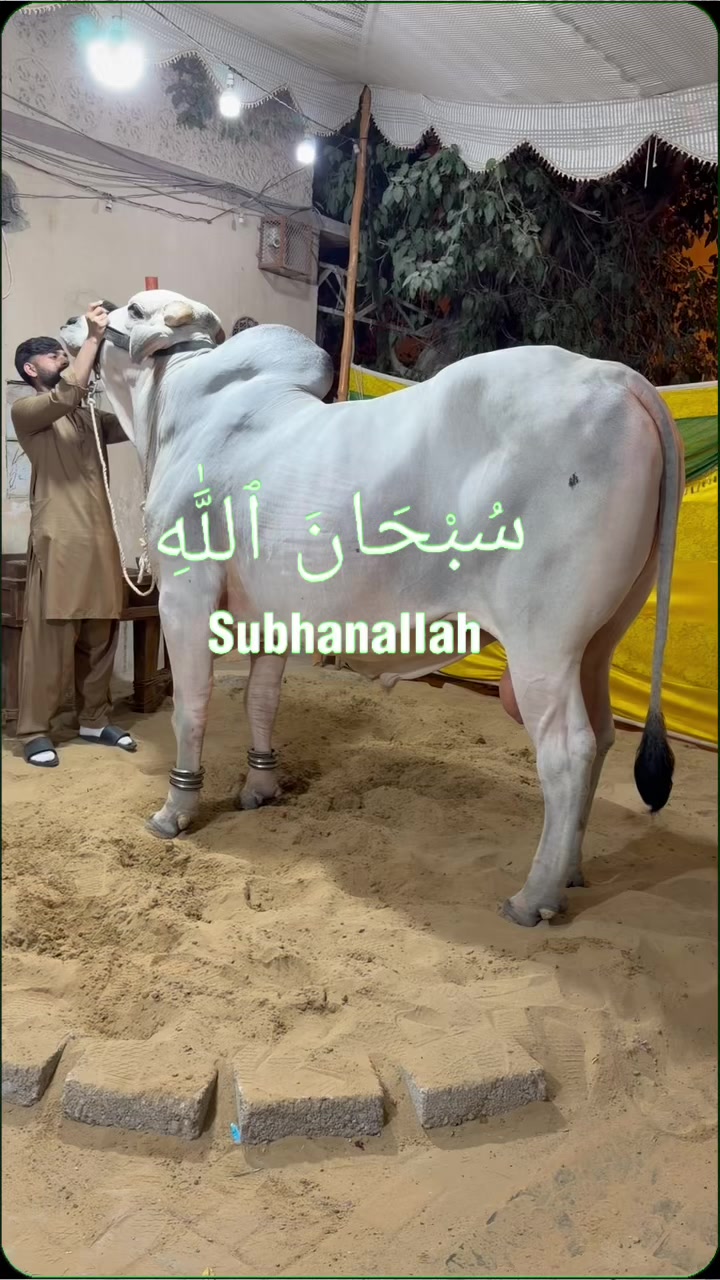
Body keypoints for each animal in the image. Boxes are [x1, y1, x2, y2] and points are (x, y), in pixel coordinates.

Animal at [60, 291, 684, 928]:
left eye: (133, 310)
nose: (76, 320)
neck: (177, 408)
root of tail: (616, 376)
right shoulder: (272, 612)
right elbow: (262, 699)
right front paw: (261, 787)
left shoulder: (186, 594)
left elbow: (191, 708)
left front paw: (175, 810)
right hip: (598, 641)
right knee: (603, 737)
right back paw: (571, 873)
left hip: (542, 644)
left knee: (568, 753)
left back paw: (533, 896)